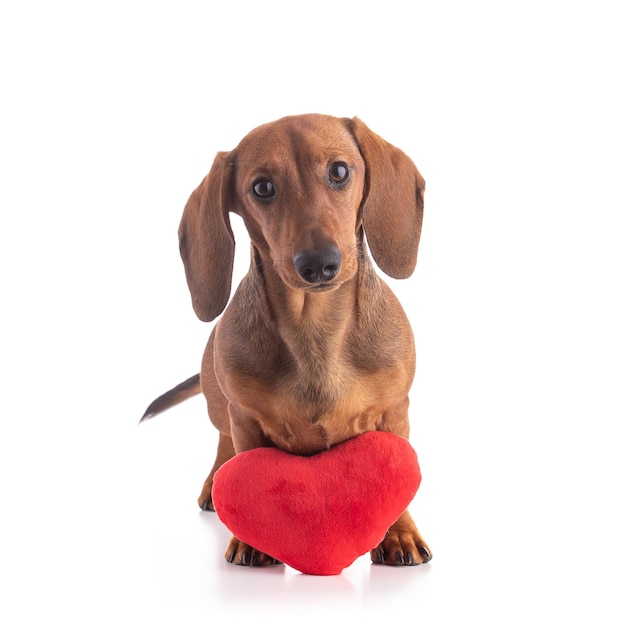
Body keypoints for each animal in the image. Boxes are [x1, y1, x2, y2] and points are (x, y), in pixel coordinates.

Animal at [143, 112, 434, 564]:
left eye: (339, 171)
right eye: (262, 187)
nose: (319, 264)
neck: (315, 332)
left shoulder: (393, 412)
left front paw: (398, 534)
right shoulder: (245, 418)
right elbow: (245, 463)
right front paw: (251, 538)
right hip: (219, 403)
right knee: (222, 442)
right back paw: (213, 484)